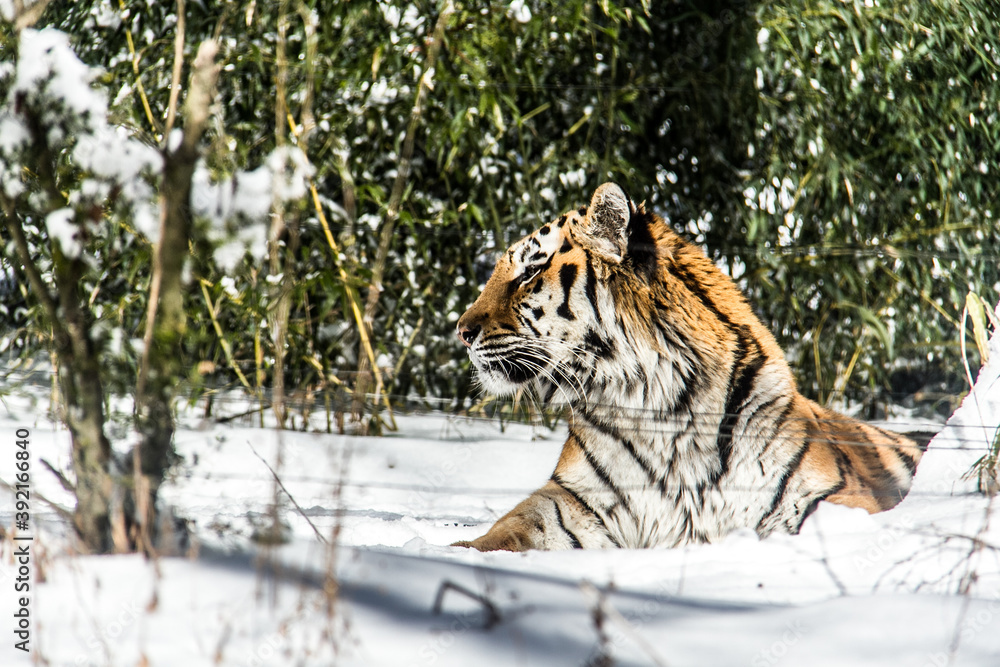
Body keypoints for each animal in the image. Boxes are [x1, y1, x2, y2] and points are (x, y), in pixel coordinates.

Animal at [453, 182, 928, 551]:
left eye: (528, 274)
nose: (461, 331)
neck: (657, 407)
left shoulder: (821, 497)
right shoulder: (574, 501)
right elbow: (511, 527)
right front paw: (460, 552)